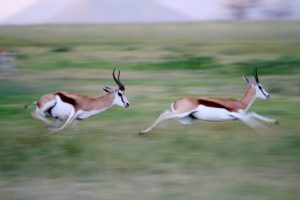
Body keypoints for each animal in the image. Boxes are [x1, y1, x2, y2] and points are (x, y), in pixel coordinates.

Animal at [139, 68, 278, 134]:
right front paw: (265, 131)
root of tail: (177, 101)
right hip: (182, 114)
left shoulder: (239, 116)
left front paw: (274, 122)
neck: (240, 103)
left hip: (185, 119)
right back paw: (143, 132)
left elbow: (253, 114)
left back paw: (163, 130)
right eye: (260, 86)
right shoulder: (238, 114)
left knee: (165, 113)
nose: (268, 95)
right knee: (164, 114)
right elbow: (251, 118)